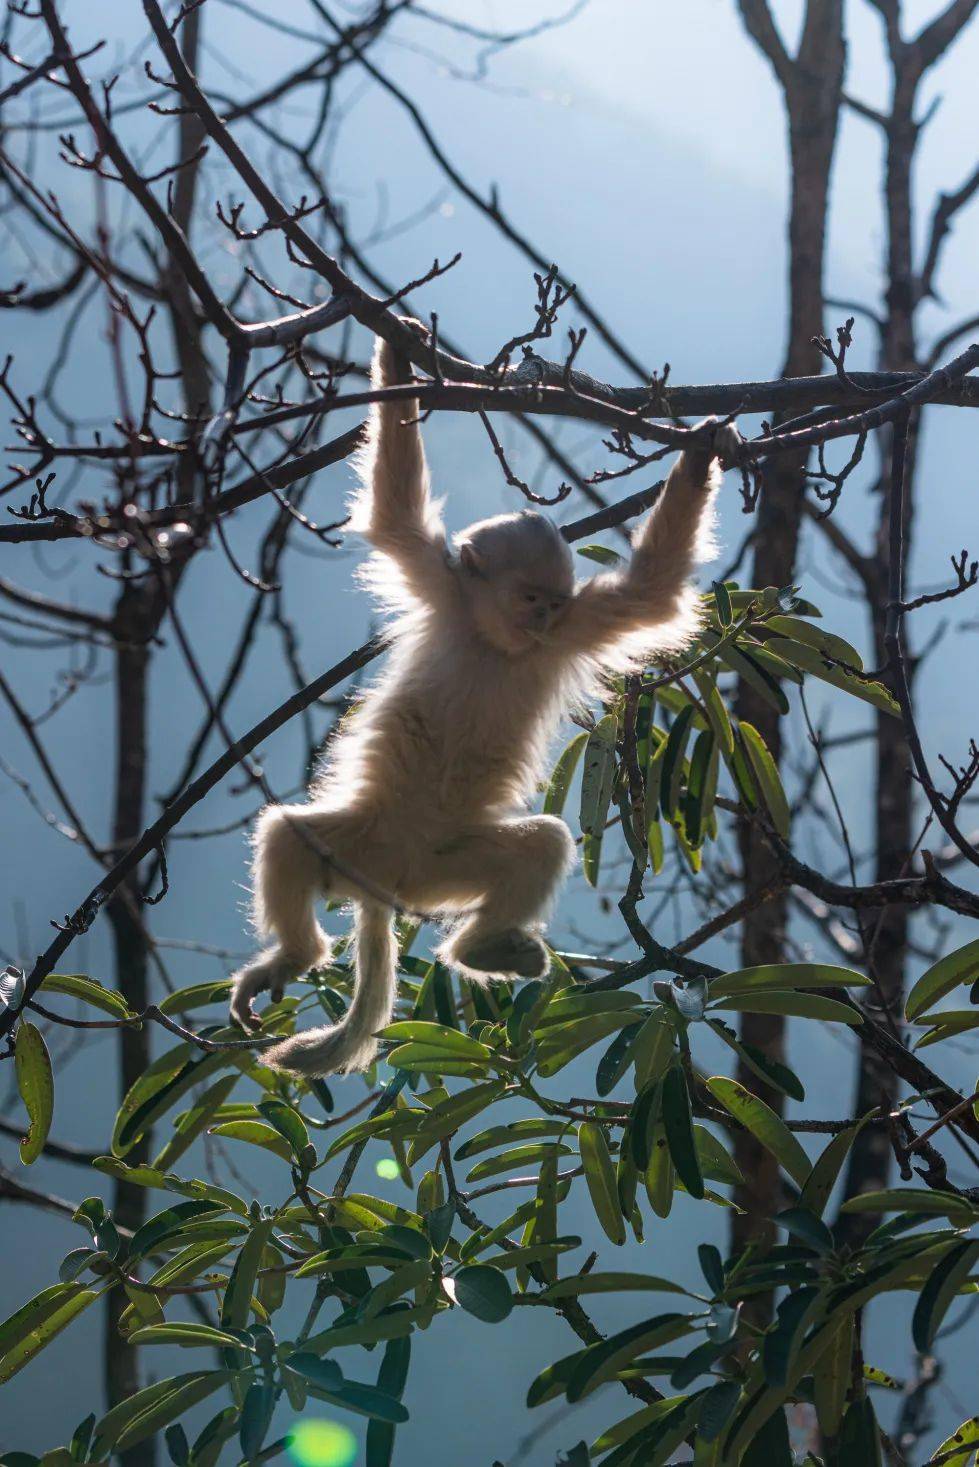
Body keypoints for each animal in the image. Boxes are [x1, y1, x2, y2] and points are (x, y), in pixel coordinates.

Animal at [227, 333, 733, 1073]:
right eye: (529, 597)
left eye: (553, 603)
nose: (543, 619)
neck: (496, 641)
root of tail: (387, 889)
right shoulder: (442, 586)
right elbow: (395, 511)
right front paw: (398, 351)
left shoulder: (577, 626)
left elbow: (652, 590)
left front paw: (700, 455)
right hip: (359, 846)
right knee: (286, 839)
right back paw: (293, 955)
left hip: (446, 867)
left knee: (538, 846)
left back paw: (480, 947)